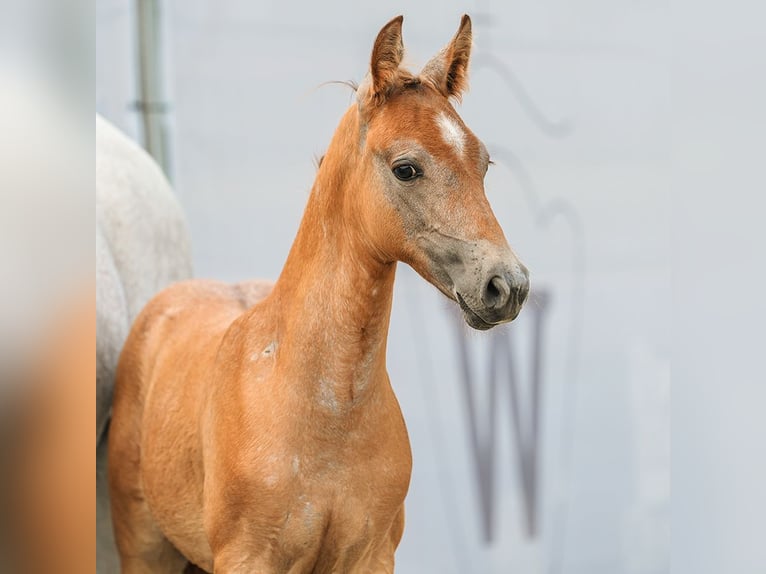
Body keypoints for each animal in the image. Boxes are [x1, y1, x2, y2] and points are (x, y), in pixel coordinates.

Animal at [109, 15, 528, 572]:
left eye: (483, 163)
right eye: (406, 168)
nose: (507, 285)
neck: (328, 416)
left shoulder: (372, 556)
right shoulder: (246, 558)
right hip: (144, 546)